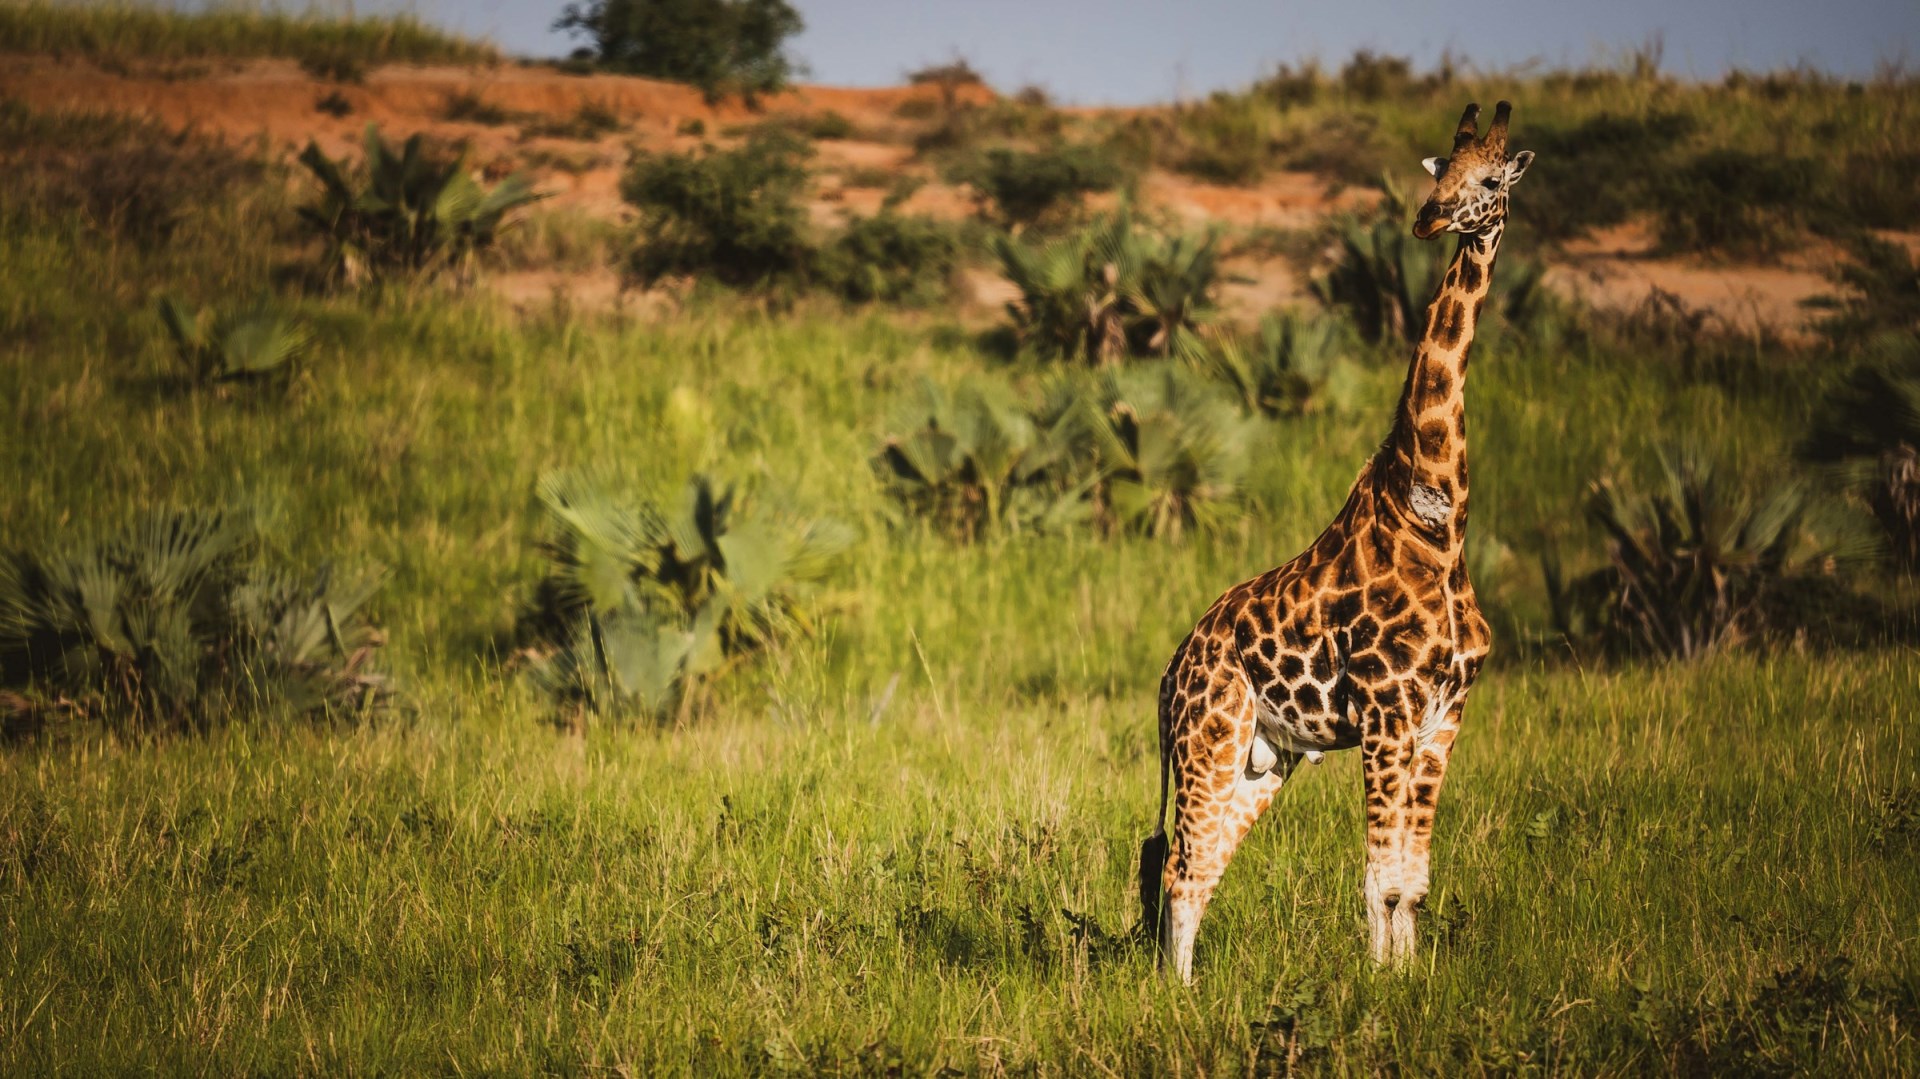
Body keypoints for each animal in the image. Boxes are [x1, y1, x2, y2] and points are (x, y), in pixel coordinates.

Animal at [1138, 102, 1535, 981]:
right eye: (1442, 173)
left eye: (1492, 180)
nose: (1428, 219)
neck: (1438, 521)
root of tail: (1172, 669)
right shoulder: (1388, 708)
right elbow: (1380, 879)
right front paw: (1380, 985)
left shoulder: (1445, 714)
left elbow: (1411, 880)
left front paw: (1409, 980)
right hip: (1209, 736)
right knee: (1182, 863)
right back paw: (1177, 994)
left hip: (1266, 753)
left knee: (1194, 862)